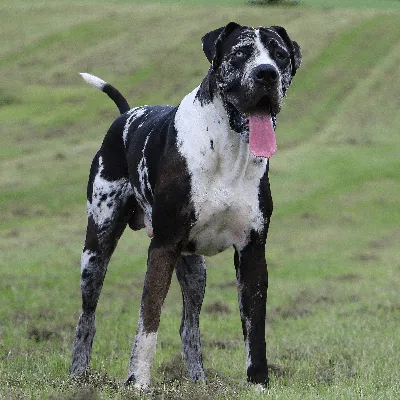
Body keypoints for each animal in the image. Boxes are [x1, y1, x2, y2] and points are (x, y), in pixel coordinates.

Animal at [70, 21, 302, 388]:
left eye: (280, 55)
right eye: (240, 53)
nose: (266, 73)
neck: (228, 148)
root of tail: (126, 114)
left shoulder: (252, 252)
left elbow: (255, 329)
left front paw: (258, 382)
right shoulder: (163, 246)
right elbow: (148, 319)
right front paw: (137, 382)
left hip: (195, 270)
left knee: (188, 326)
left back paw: (198, 381)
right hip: (96, 249)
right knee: (87, 316)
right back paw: (79, 374)